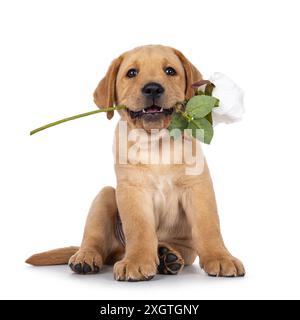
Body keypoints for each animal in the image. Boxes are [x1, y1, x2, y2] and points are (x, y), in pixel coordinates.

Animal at [27, 44, 245, 280]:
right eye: (131, 73)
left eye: (170, 71)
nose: (153, 89)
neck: (156, 143)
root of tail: (118, 252)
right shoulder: (132, 190)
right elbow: (139, 229)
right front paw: (137, 261)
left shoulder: (197, 186)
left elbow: (209, 226)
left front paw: (221, 258)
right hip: (105, 195)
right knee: (95, 242)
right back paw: (85, 258)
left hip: (184, 247)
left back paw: (167, 256)